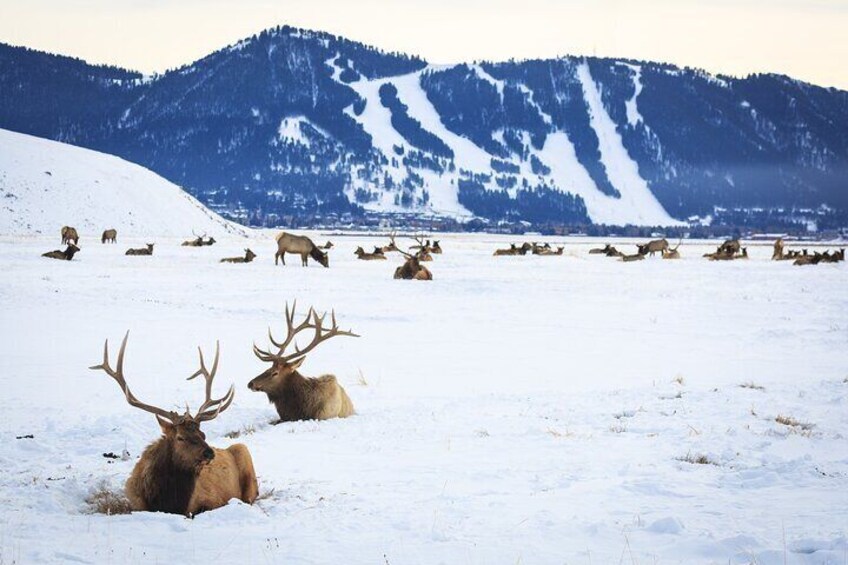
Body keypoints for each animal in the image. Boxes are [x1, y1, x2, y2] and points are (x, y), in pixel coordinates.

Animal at [89, 330, 256, 516]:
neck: (168, 503)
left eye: (203, 434)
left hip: (244, 453)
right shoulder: (136, 503)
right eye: (180, 437)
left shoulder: (211, 500)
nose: (209, 453)